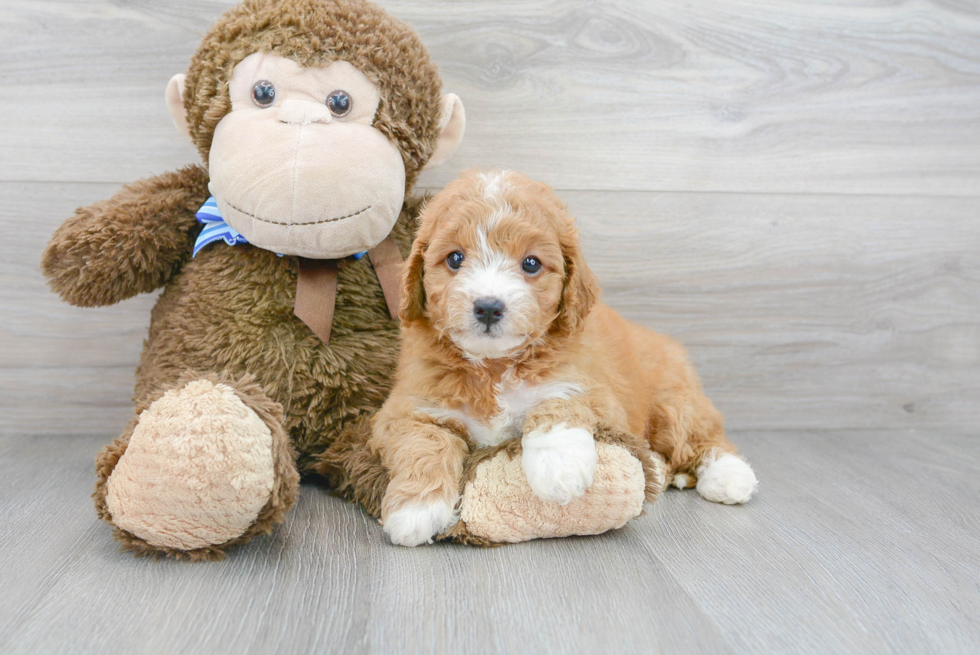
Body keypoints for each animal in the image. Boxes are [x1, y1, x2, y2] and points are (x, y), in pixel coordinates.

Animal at [368, 170, 756, 548]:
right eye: (454, 258)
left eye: (531, 263)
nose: (489, 307)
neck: (494, 366)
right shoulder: (406, 408)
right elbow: (424, 441)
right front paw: (416, 510)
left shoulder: (594, 389)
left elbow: (557, 402)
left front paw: (560, 467)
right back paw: (661, 471)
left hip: (674, 401)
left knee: (704, 438)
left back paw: (730, 476)